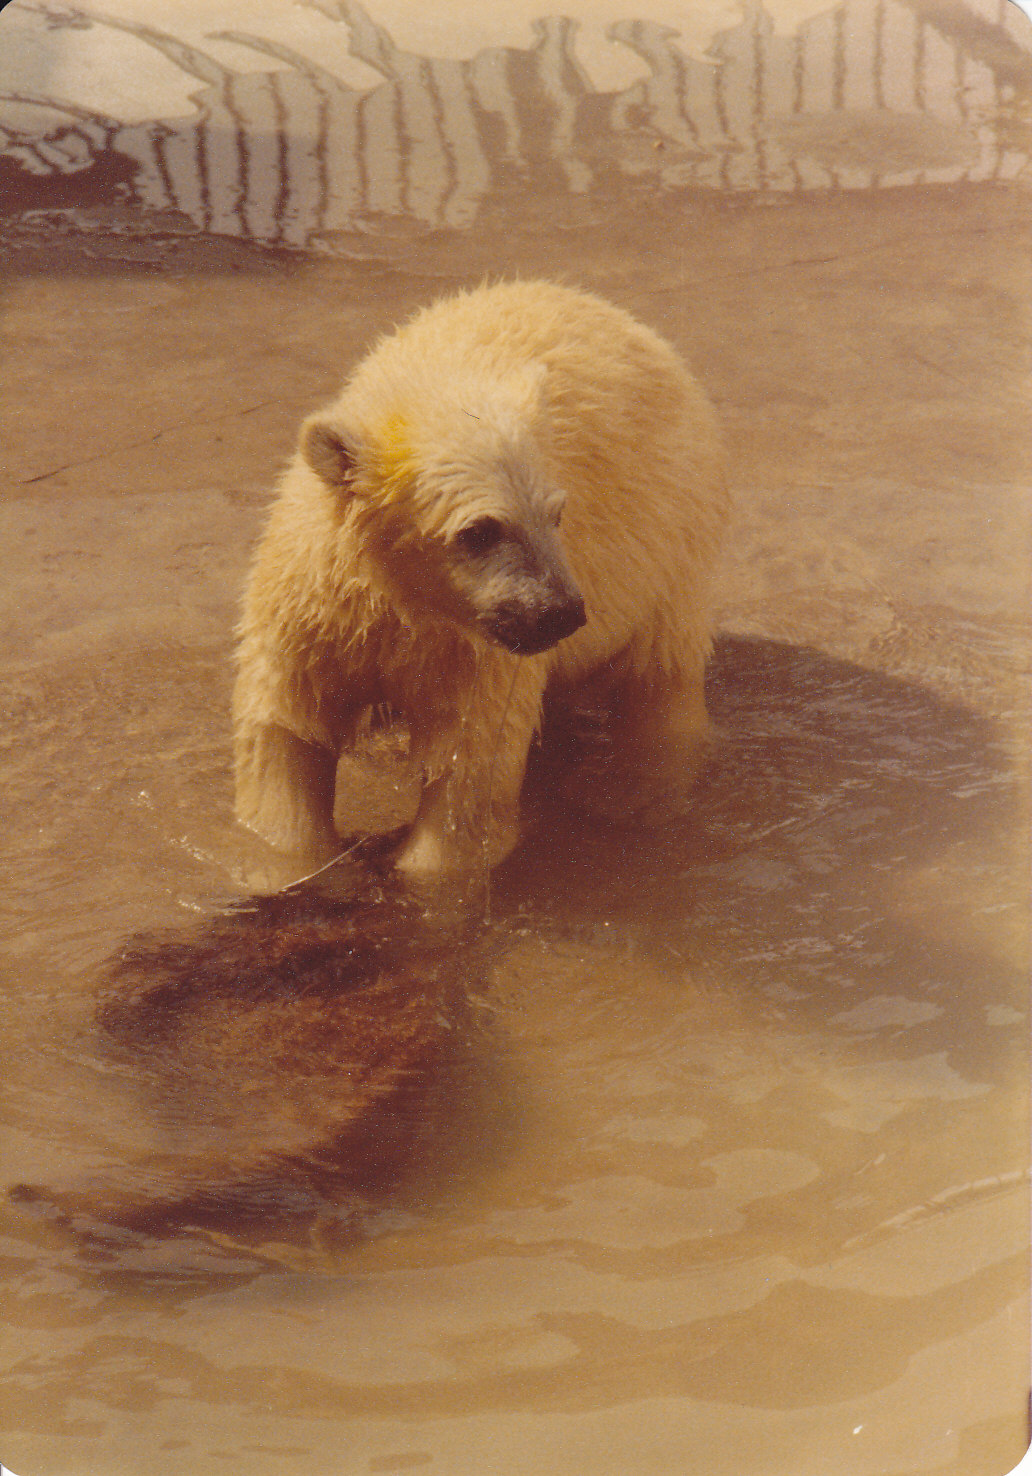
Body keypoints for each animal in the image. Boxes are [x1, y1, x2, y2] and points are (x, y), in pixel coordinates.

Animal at [232, 280, 729, 883]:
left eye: (555, 514)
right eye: (479, 531)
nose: (561, 613)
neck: (401, 598)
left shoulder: (476, 653)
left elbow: (468, 774)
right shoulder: (313, 612)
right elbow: (284, 735)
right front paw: (298, 867)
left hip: (673, 533)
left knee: (660, 665)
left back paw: (628, 791)